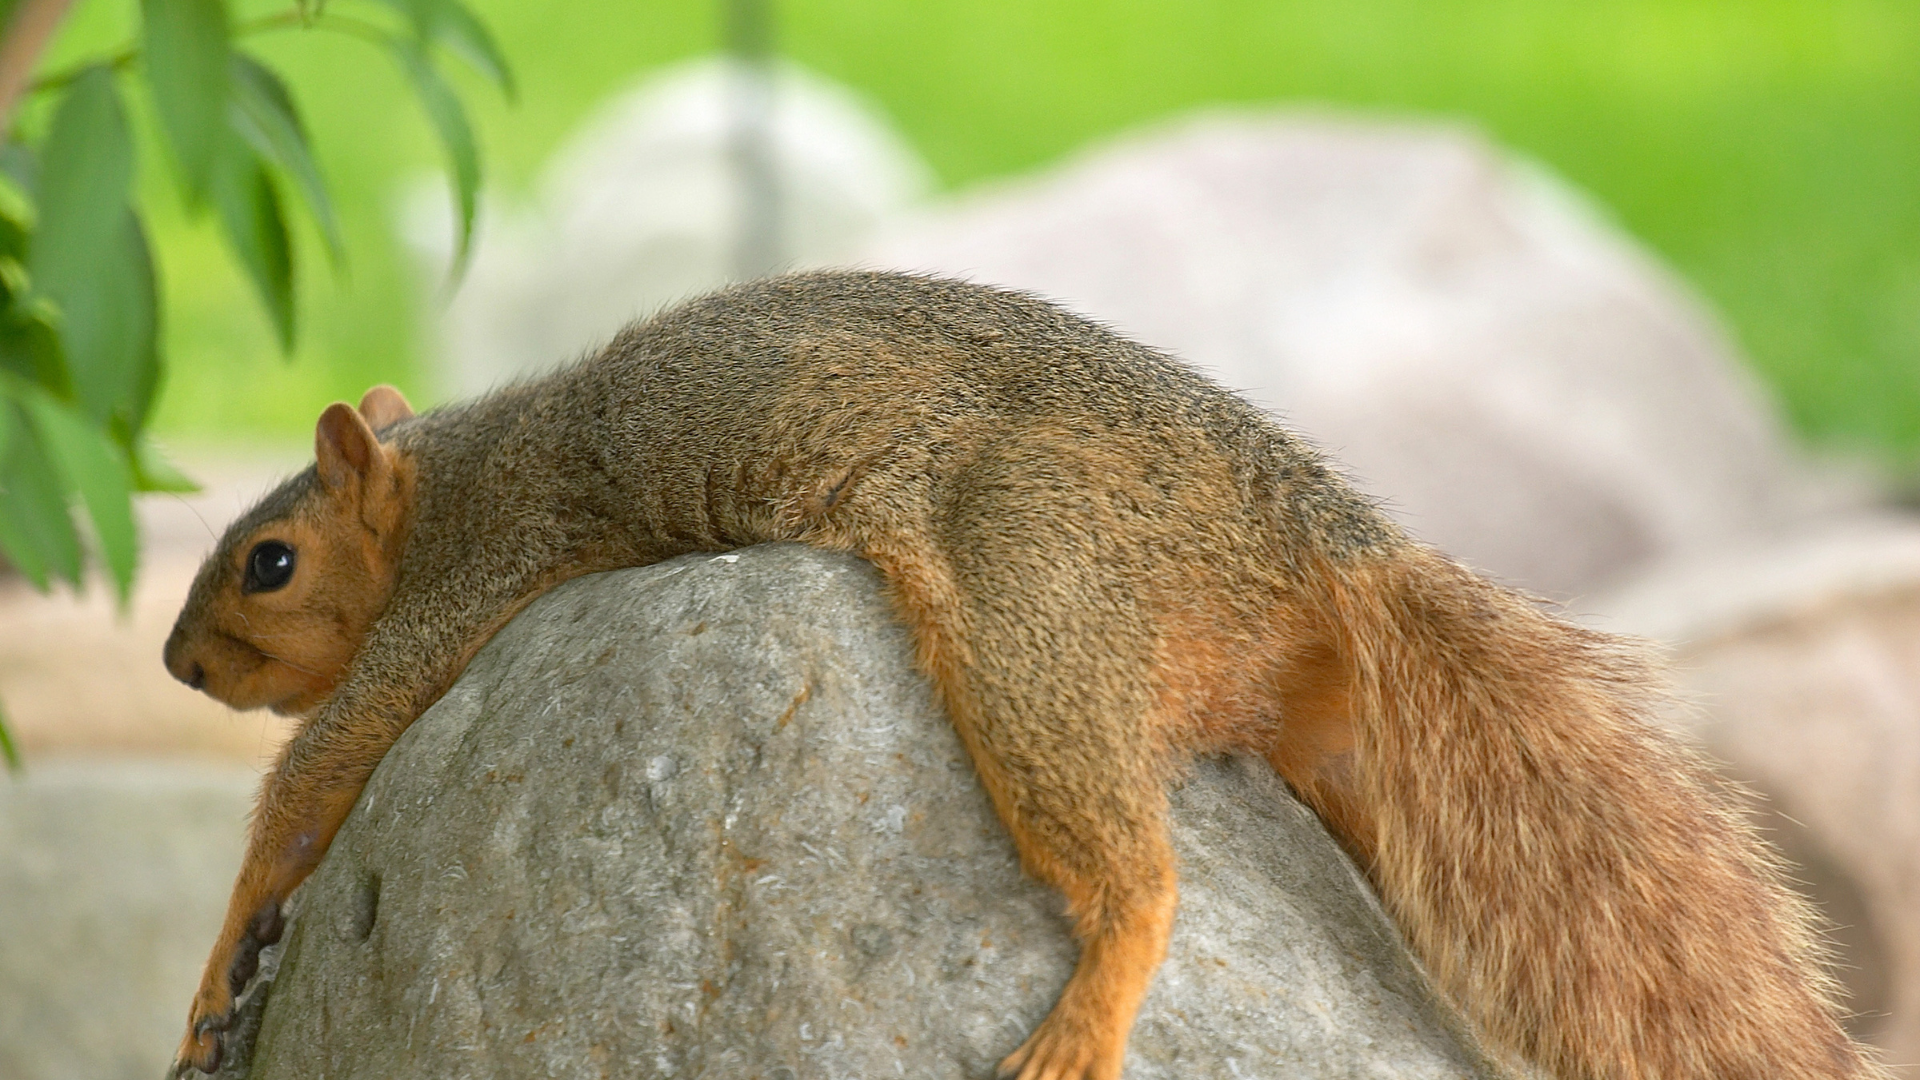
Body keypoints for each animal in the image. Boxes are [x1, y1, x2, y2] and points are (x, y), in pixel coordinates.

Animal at [164, 270, 1878, 1080]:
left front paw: (213, 972)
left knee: (1137, 867)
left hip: (1034, 598)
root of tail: (1307, 533)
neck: (443, 484)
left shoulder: (465, 586)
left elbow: (320, 772)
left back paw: (1088, 1011)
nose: (179, 665)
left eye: (268, 563)